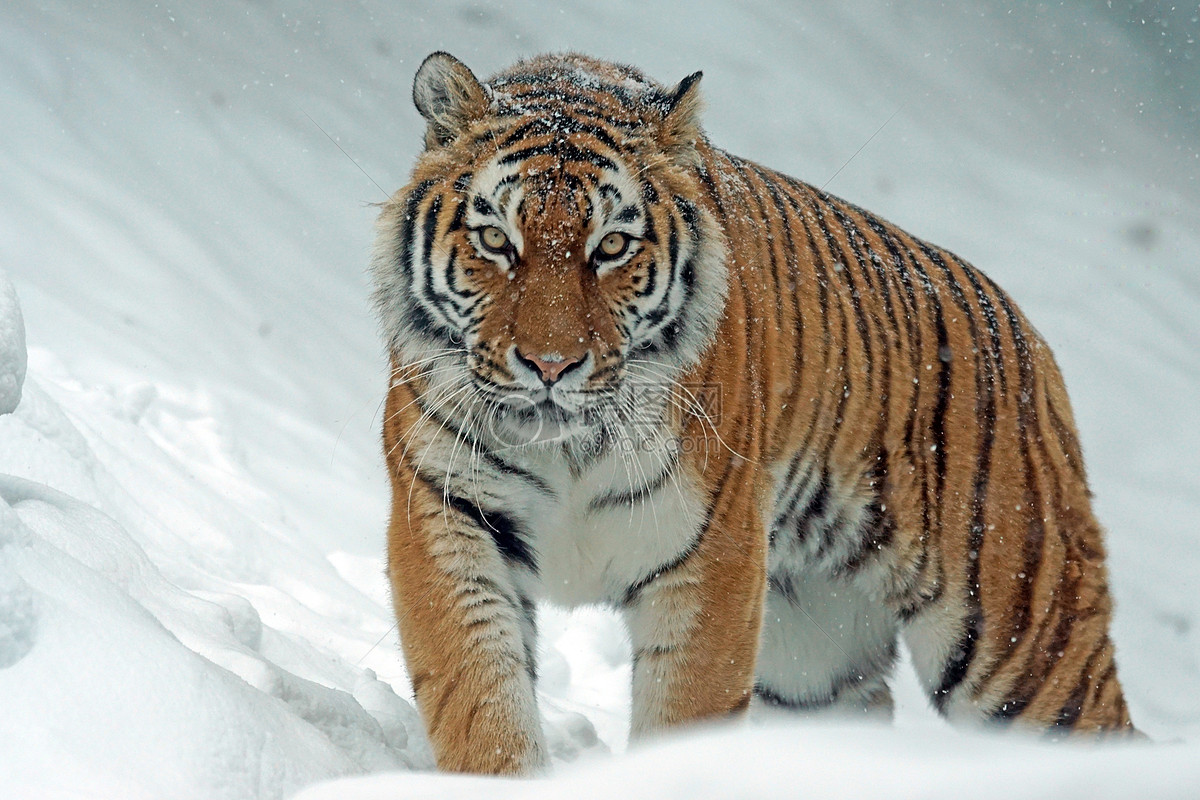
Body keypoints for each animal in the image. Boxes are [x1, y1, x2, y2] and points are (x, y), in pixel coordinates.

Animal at [369, 50, 1137, 777]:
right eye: (497, 240)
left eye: (611, 246)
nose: (551, 366)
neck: (568, 448)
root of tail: (1029, 337)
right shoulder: (448, 515)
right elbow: (480, 699)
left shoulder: (713, 556)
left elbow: (684, 716)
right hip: (813, 662)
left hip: (1022, 641)